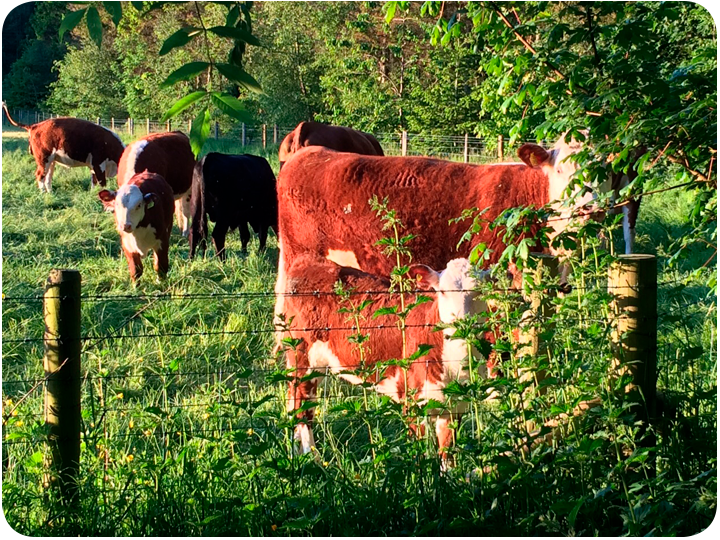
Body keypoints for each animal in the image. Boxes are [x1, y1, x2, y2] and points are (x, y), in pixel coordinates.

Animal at [281, 255, 491, 464]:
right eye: (443, 291)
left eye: (480, 291)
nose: (462, 323)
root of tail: (306, 261)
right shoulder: (411, 401)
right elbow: (420, 456)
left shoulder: (454, 407)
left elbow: (447, 458)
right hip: (302, 357)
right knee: (303, 408)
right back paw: (313, 459)